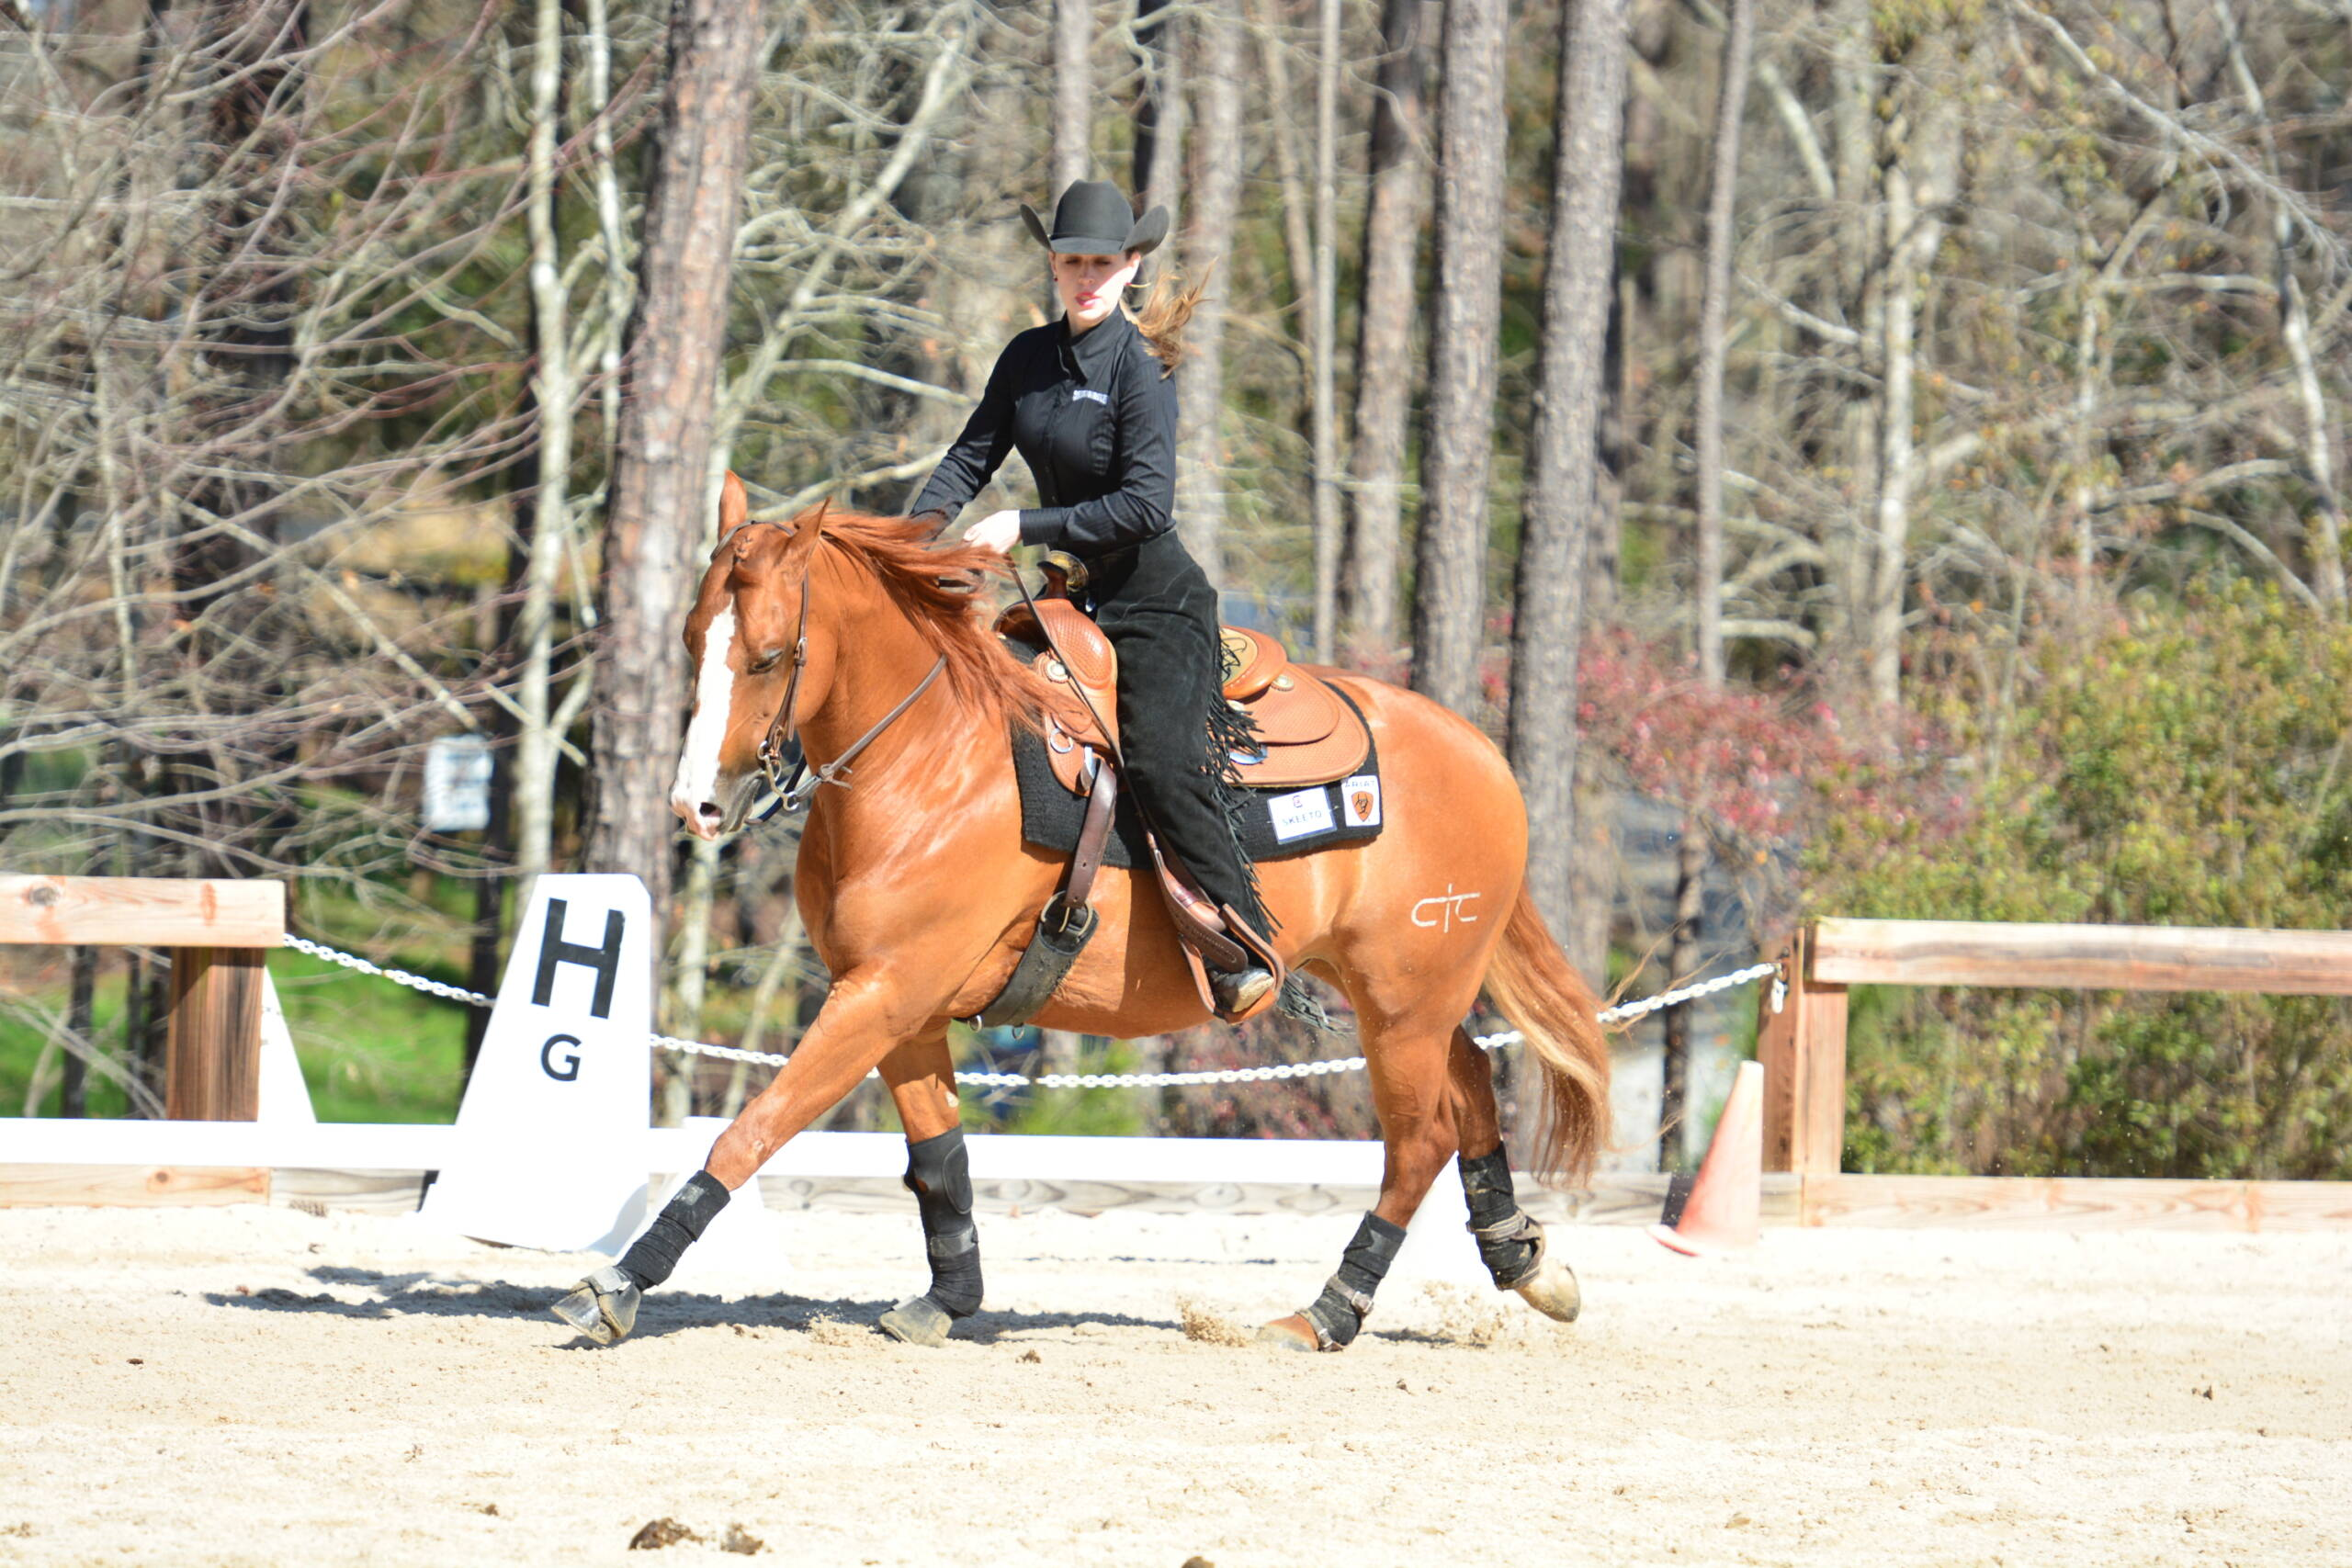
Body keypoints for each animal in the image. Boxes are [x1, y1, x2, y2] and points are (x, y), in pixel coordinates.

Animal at [560, 484, 1609, 1354]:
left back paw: (1324, 1314)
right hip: (1403, 996)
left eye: (772, 655)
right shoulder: (900, 1006)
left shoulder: (880, 993)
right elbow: (937, 1156)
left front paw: (618, 1286)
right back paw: (1526, 1260)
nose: (696, 805)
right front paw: (946, 1300)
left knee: (1418, 1142)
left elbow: (749, 1131)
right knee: (1469, 1086)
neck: (931, 756)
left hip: (1403, 1003)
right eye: (693, 640)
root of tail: (1481, 750)